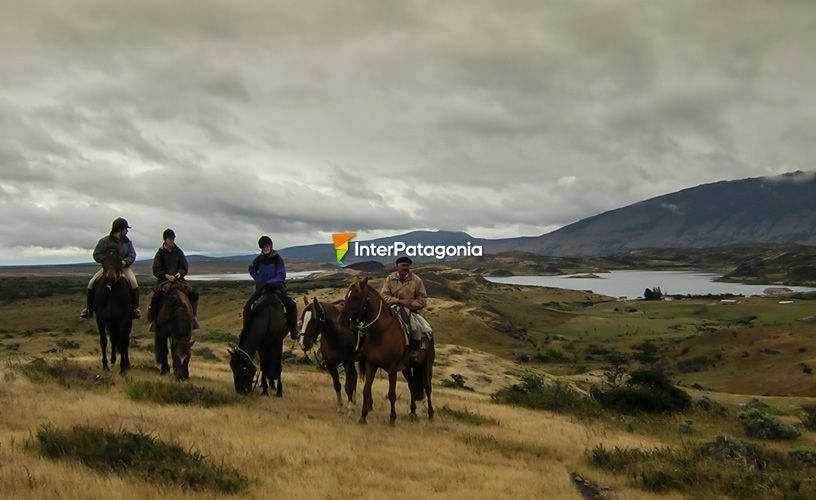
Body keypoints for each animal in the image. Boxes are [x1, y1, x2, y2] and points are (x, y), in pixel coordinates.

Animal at [342, 276, 436, 424]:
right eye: (347, 295)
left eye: (355, 297)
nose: (342, 320)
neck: (381, 332)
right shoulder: (371, 365)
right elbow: (366, 390)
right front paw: (363, 417)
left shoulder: (392, 369)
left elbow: (392, 394)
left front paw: (392, 419)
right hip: (407, 368)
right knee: (412, 385)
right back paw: (412, 411)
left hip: (426, 365)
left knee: (427, 387)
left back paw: (431, 414)